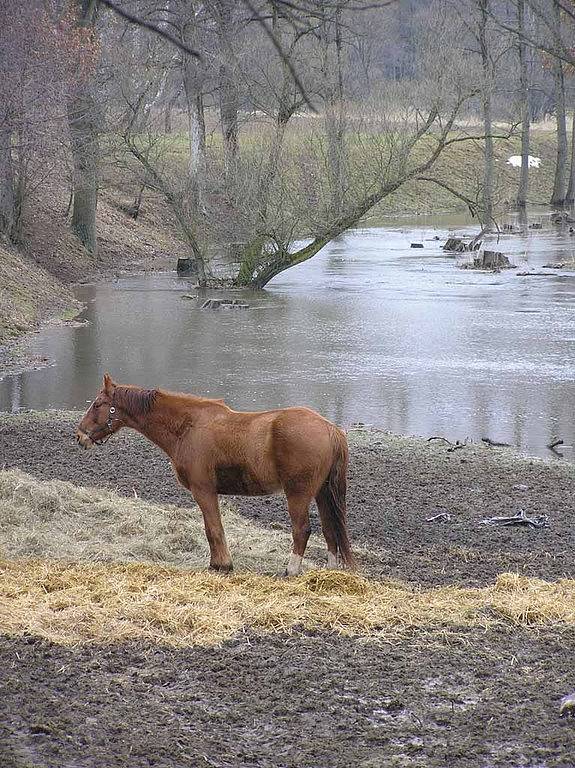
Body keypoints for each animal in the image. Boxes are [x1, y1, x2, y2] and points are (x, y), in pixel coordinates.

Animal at [76, 376, 356, 572]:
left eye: (98, 404)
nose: (80, 435)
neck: (188, 426)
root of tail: (330, 428)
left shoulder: (204, 491)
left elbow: (213, 528)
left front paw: (222, 565)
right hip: (322, 493)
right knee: (330, 529)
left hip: (298, 494)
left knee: (302, 530)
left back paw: (291, 570)